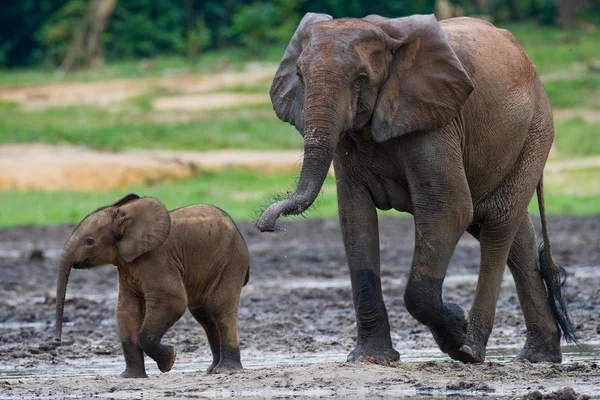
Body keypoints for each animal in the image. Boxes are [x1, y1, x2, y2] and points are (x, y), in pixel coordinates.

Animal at [55, 194, 250, 378]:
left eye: (89, 241)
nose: (57, 340)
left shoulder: (157, 260)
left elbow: (173, 301)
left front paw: (169, 361)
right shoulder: (127, 267)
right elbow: (126, 310)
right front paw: (130, 377)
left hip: (230, 262)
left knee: (219, 307)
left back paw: (225, 370)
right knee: (203, 314)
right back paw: (212, 369)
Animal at [255, 13, 576, 362]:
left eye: (361, 79)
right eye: (299, 75)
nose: (266, 224)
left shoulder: (435, 122)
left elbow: (449, 208)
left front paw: (456, 328)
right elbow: (355, 217)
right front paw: (371, 358)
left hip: (536, 131)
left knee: (497, 226)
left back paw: (471, 349)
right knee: (514, 234)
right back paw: (538, 357)